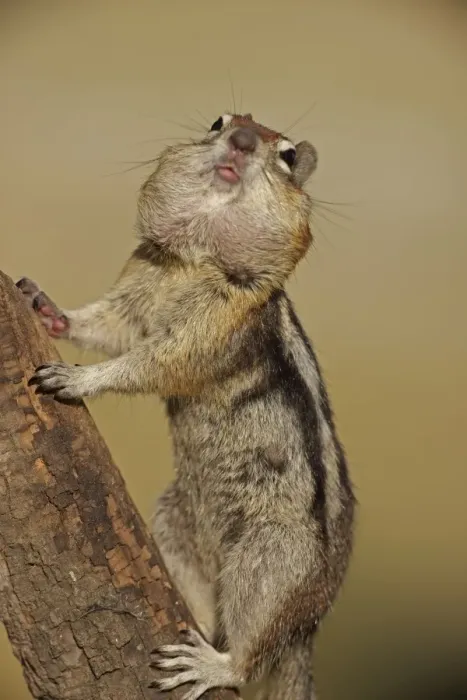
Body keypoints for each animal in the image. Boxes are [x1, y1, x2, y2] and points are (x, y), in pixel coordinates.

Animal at [18, 111, 356, 700]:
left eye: (288, 155)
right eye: (219, 121)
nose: (241, 140)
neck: (193, 260)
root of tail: (307, 627)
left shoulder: (214, 323)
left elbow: (153, 361)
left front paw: (79, 378)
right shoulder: (137, 285)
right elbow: (107, 326)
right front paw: (47, 309)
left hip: (271, 560)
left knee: (250, 647)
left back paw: (214, 664)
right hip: (177, 524)